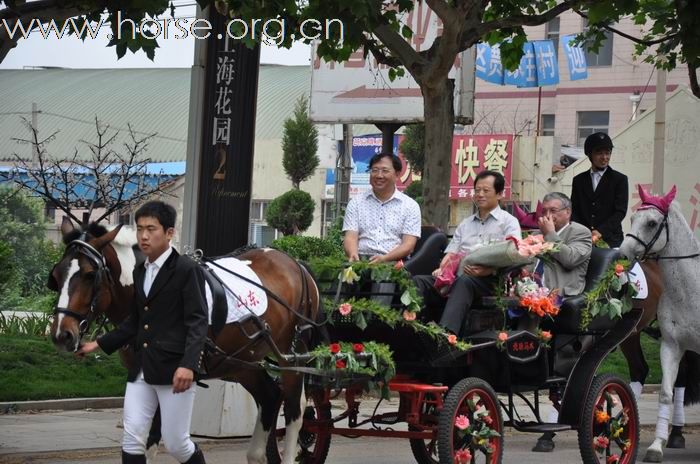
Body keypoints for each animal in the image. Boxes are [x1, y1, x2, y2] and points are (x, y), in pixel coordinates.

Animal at [48, 222, 322, 464]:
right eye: (57, 275)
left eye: (89, 275)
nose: (62, 334)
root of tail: (295, 263)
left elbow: (152, 441)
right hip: (242, 362)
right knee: (270, 396)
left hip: (291, 354)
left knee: (294, 409)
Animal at [620, 184, 700, 460]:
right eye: (633, 217)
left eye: (652, 222)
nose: (622, 254)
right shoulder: (672, 346)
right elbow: (665, 393)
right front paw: (656, 446)